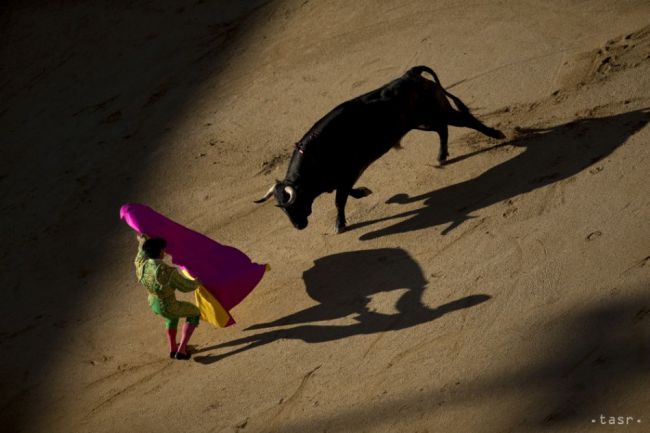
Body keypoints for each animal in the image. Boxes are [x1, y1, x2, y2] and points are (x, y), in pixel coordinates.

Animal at [256, 65, 504, 231]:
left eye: (293, 204)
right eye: (282, 209)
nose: (298, 226)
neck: (314, 159)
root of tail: (410, 74)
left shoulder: (347, 174)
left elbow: (339, 199)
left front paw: (340, 224)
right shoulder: (340, 178)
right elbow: (345, 193)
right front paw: (364, 192)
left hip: (438, 112)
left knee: (465, 120)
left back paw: (496, 134)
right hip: (421, 122)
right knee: (442, 129)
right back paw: (442, 156)